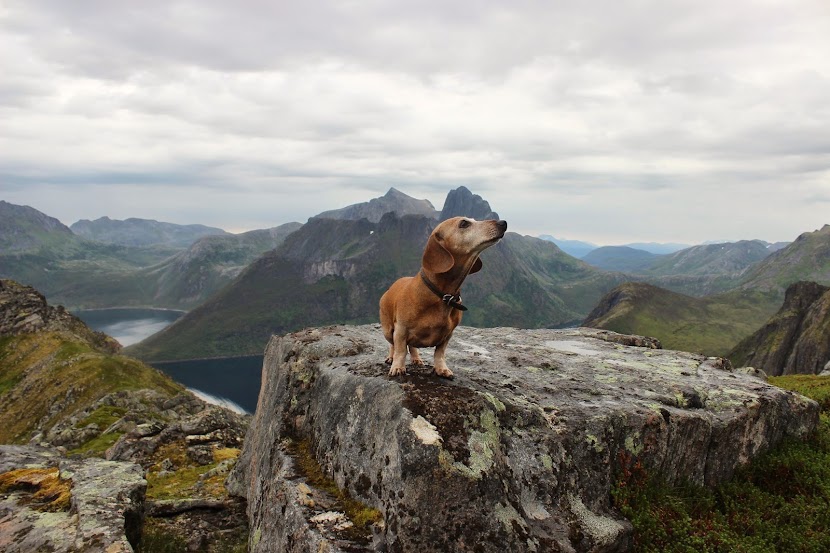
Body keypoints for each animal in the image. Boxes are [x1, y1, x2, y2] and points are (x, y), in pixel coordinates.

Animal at [382, 218, 508, 378]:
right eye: (464, 223)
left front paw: (441, 368)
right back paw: (391, 357)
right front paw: (398, 367)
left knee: (412, 347)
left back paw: (416, 358)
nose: (503, 223)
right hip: (388, 329)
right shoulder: (401, 330)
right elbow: (400, 351)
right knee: (392, 345)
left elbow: (439, 353)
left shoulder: (447, 334)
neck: (441, 296)